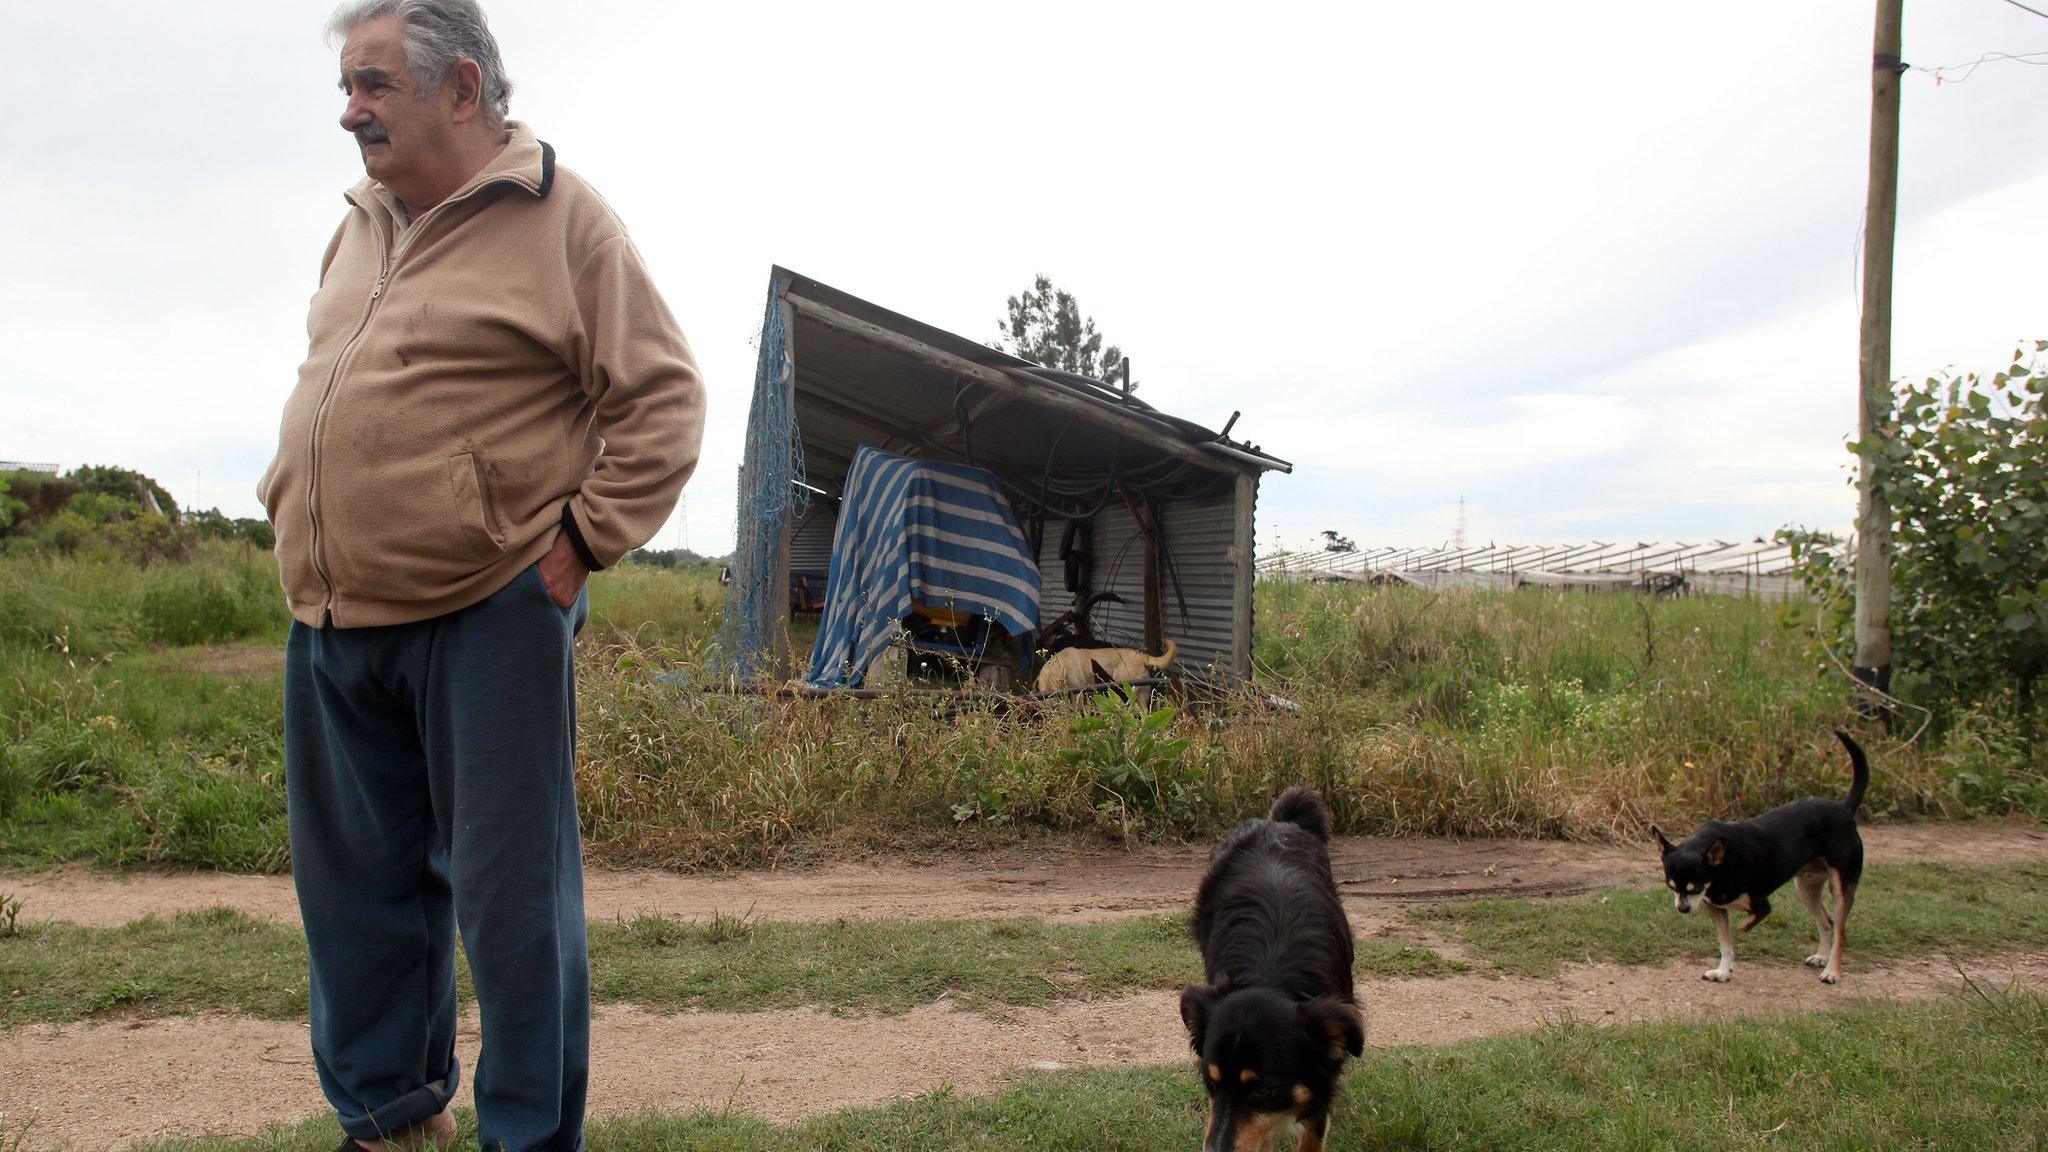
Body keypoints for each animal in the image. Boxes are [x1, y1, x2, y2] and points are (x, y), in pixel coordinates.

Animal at [1032, 631, 1179, 696]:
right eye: (1043, 694)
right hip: (1142, 695)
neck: (1061, 665)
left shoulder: (1077, 694)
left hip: (1124, 689)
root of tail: (1142, 656)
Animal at [1187, 783, 1359, 1147]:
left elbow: (1313, 1132)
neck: (1273, 974)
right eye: (1211, 1083)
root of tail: (1276, 822)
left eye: (1261, 1091)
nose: (1212, 1150)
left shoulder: (1324, 1066)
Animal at [1646, 729, 1875, 983]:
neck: (1722, 868)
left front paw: (1738, 938)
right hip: (1806, 888)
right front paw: (1723, 971)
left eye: (1694, 887)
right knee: (1827, 922)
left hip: (1841, 887)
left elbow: (1742, 926)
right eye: (1671, 887)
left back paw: (1831, 971)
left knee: (1840, 931)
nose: (1683, 909)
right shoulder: (1716, 907)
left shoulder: (1760, 905)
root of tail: (1844, 809)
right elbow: (1725, 944)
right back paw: (1820, 957)